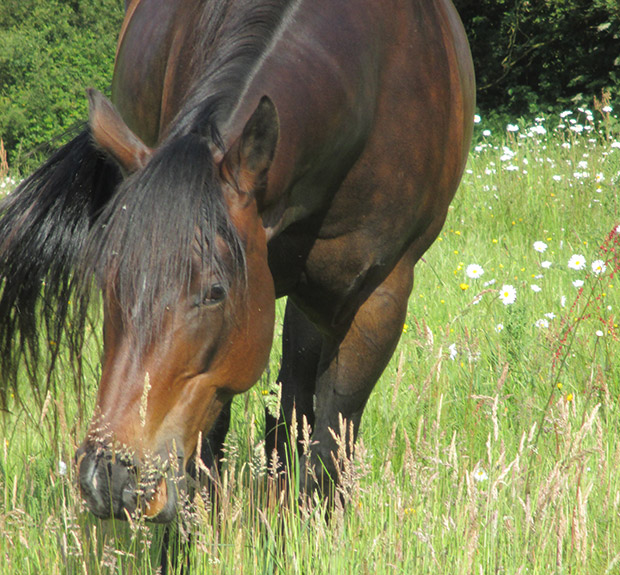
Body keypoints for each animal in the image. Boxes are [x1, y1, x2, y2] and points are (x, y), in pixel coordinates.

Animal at [0, 0, 474, 524]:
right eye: (109, 282)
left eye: (214, 292)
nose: (110, 477)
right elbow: (207, 455)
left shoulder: (379, 298)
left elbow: (331, 438)